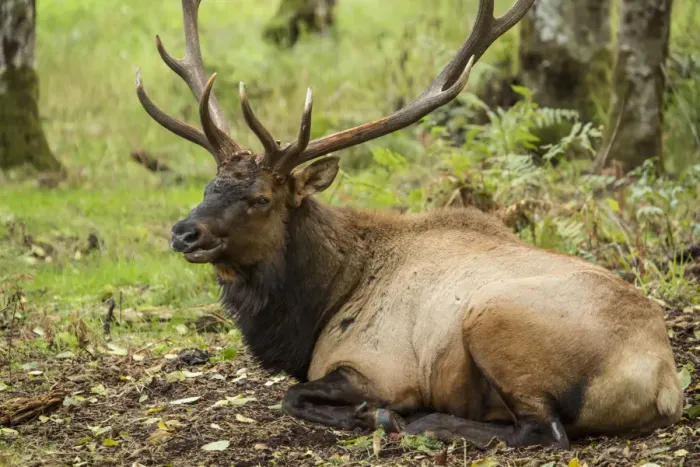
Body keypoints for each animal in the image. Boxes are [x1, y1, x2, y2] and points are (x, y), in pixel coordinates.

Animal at [135, 0, 684, 448]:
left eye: (261, 198)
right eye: (208, 187)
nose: (183, 232)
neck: (317, 308)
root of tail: (665, 384)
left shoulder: (379, 367)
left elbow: (293, 397)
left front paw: (373, 414)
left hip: (493, 318)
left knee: (542, 432)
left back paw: (419, 421)